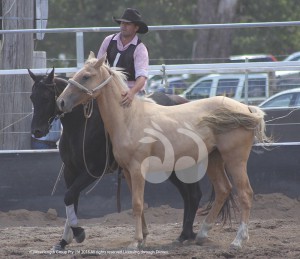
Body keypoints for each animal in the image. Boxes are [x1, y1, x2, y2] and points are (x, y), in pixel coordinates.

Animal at [29, 68, 210, 251]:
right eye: (32, 97)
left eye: (46, 97)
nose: (36, 131)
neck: (82, 126)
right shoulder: (70, 171)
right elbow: (72, 199)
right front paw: (64, 240)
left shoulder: (92, 171)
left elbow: (69, 196)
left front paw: (78, 233)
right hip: (172, 168)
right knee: (188, 195)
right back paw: (185, 235)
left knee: (193, 194)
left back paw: (186, 234)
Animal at [56, 52, 270, 250]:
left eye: (86, 76)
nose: (61, 102)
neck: (129, 119)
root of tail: (246, 109)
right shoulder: (127, 171)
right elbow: (137, 204)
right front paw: (142, 238)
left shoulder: (136, 169)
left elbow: (137, 204)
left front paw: (136, 242)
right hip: (214, 159)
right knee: (223, 190)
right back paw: (201, 234)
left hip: (235, 160)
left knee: (245, 193)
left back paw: (238, 240)